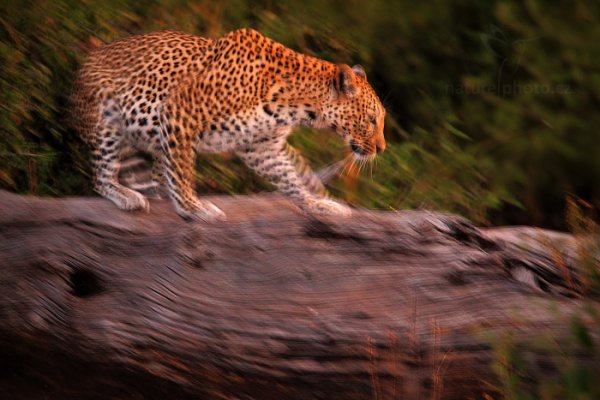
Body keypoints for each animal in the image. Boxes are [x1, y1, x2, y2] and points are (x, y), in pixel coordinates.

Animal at [70, 28, 386, 222]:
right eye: (371, 120)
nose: (382, 149)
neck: (298, 105)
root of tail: (87, 57)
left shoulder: (262, 148)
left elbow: (292, 178)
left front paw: (318, 204)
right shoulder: (179, 111)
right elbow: (183, 173)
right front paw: (194, 209)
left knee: (158, 173)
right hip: (107, 123)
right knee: (101, 177)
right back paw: (126, 196)